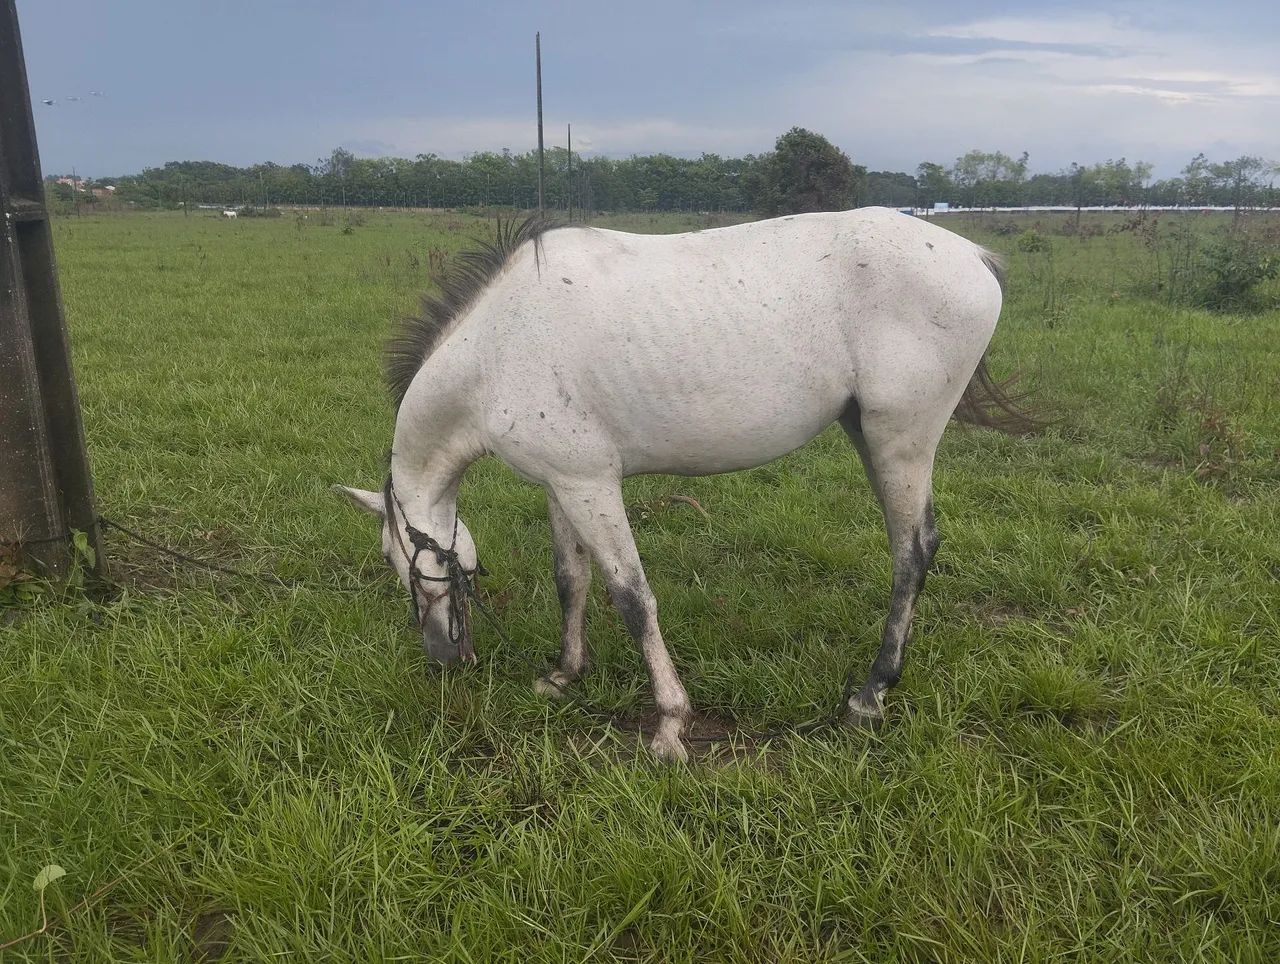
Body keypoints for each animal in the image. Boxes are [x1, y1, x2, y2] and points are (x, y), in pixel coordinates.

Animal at [336, 208, 1036, 761]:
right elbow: (571, 578)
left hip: (901, 439)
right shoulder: (562, 482)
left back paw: (870, 695)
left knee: (912, 551)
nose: (441, 660)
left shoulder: (592, 485)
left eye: (400, 559)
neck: (496, 352)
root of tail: (972, 256)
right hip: (866, 431)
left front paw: (671, 724)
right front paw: (564, 675)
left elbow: (631, 597)